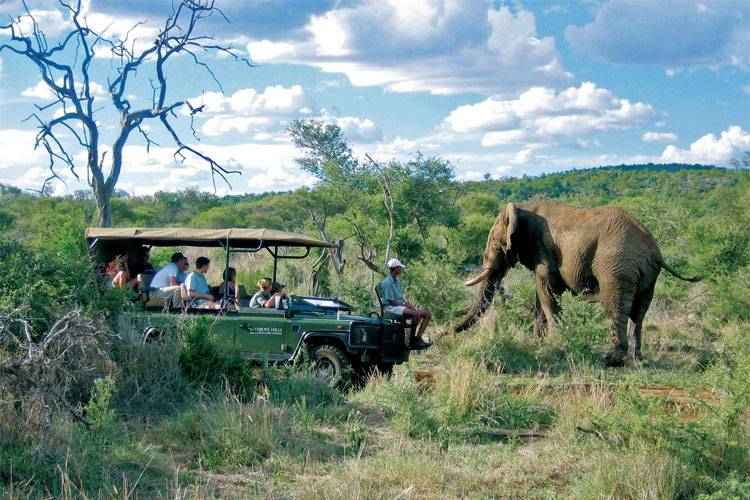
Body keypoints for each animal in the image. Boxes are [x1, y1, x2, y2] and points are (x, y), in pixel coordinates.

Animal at [456, 201, 704, 366]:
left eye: (494, 242)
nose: (448, 332)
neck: (523, 208)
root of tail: (655, 250)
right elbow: (541, 297)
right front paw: (538, 342)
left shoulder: (544, 251)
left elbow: (547, 293)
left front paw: (554, 345)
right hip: (648, 276)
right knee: (639, 313)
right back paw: (637, 359)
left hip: (616, 267)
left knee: (616, 308)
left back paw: (612, 359)